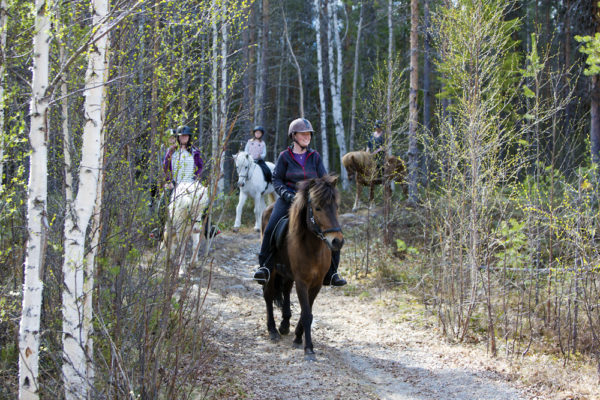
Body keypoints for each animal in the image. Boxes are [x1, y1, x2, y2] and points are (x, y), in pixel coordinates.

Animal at [260, 173, 344, 360]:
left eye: (336, 206)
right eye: (318, 208)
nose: (337, 241)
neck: (312, 248)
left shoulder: (316, 283)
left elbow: (309, 312)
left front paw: (298, 337)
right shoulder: (302, 282)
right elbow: (306, 314)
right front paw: (309, 348)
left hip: (287, 273)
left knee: (284, 290)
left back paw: (284, 324)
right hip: (272, 271)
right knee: (268, 295)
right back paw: (273, 330)